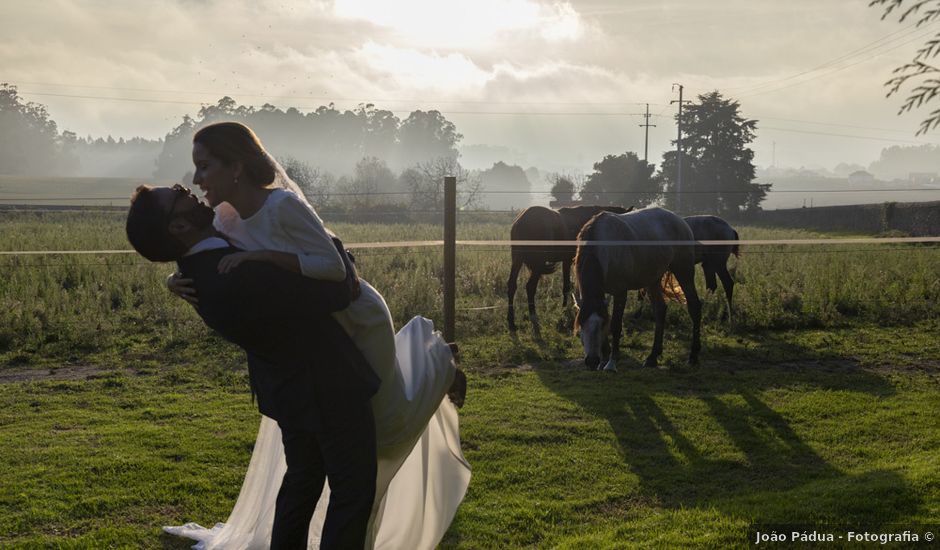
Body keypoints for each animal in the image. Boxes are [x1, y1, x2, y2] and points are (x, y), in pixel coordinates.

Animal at [506, 205, 632, 338]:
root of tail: (521, 221)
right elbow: (568, 286)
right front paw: (566, 310)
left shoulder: (566, 261)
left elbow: (566, 286)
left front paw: (565, 308)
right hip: (536, 263)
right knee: (530, 287)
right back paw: (533, 318)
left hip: (517, 259)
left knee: (512, 285)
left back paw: (511, 321)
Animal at [568, 209, 700, 374]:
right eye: (581, 325)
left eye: (601, 325)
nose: (592, 361)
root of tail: (680, 221)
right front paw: (603, 359)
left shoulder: (620, 292)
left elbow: (615, 325)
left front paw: (611, 363)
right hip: (653, 280)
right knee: (660, 310)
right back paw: (652, 357)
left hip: (684, 271)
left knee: (694, 306)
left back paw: (693, 356)